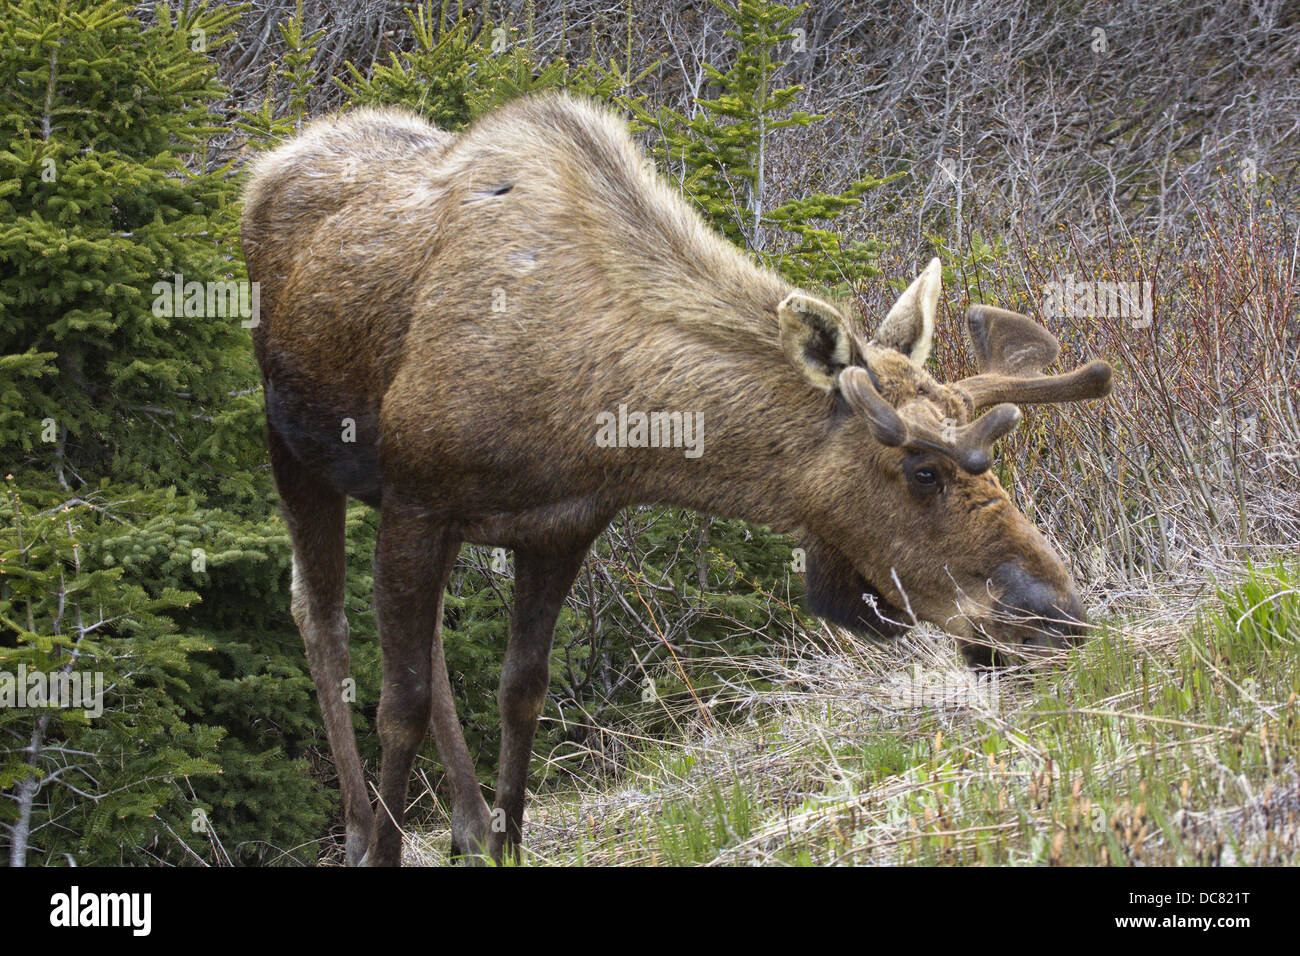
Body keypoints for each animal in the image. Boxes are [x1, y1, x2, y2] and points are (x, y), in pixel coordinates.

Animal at [241, 91, 1107, 868]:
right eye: (921, 469)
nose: (1059, 615)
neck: (586, 408)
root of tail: (266, 169)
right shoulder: (419, 501)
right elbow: (401, 706)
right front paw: (386, 845)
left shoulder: (558, 527)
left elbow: (521, 693)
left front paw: (507, 838)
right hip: (294, 447)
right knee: (319, 616)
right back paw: (362, 828)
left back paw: (469, 823)